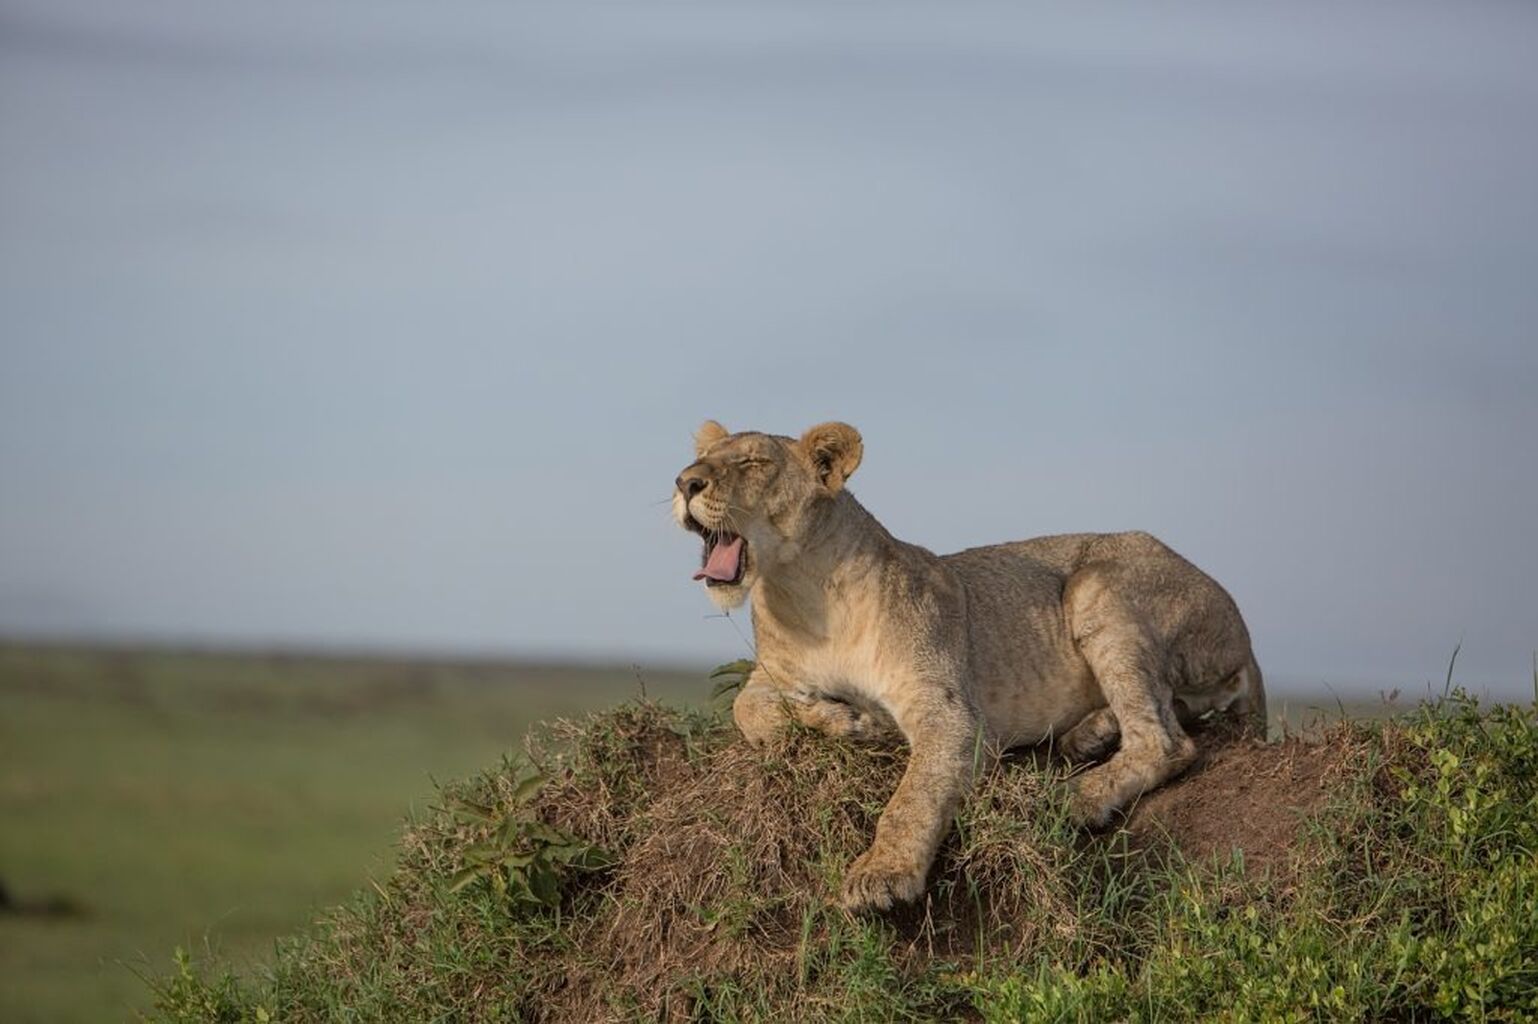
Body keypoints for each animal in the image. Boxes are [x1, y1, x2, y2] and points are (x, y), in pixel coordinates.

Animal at [673, 420, 1265, 912]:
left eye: (753, 462)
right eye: (701, 458)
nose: (684, 483)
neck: (802, 591)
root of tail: (1241, 624)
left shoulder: (949, 709)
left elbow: (914, 796)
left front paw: (881, 873)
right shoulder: (772, 677)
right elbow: (749, 711)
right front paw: (849, 722)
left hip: (1098, 584)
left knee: (1166, 741)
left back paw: (1076, 797)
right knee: (1172, 709)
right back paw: (1089, 735)